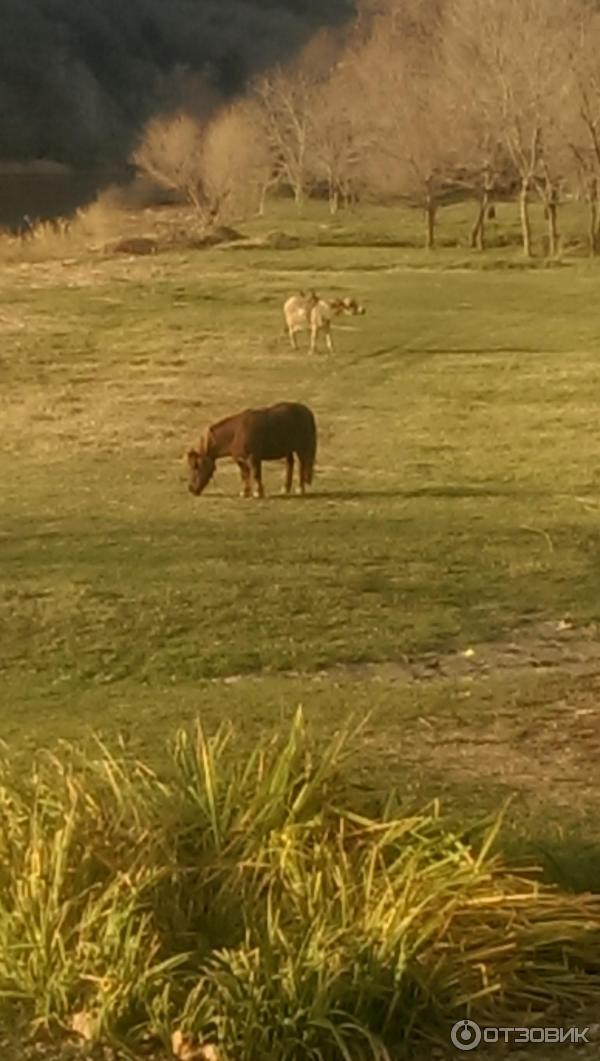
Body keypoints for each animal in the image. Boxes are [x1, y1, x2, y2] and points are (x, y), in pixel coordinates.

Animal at [188, 398, 320, 498]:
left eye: (196, 466)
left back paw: (300, 489)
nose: (191, 489)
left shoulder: (253, 458)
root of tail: (307, 411)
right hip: (288, 449)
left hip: (301, 448)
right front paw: (245, 492)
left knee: (301, 465)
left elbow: (256, 473)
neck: (235, 433)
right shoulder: (240, 460)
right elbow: (245, 475)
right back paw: (285, 488)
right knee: (290, 465)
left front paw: (258, 493)